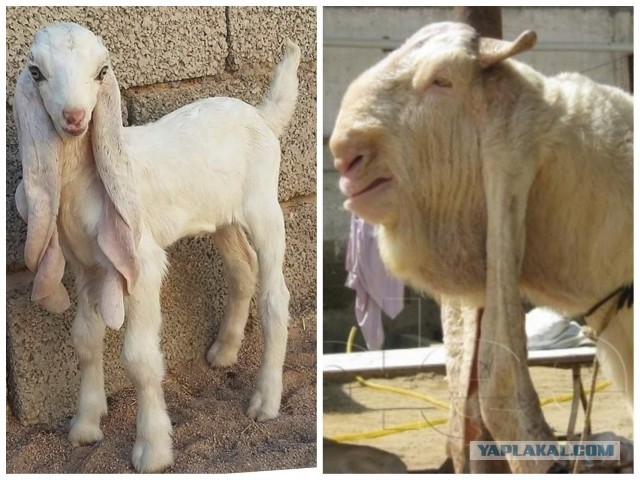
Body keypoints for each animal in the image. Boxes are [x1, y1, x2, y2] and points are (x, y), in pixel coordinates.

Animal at [14, 22, 301, 473]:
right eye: (36, 72)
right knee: (242, 270)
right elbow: (85, 340)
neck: (86, 179)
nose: (75, 118)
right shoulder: (86, 266)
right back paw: (224, 352)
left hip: (264, 207)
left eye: (102, 72)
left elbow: (140, 359)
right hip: (221, 215)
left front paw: (152, 450)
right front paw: (85, 426)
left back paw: (265, 401)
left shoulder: (142, 263)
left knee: (275, 296)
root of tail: (261, 115)